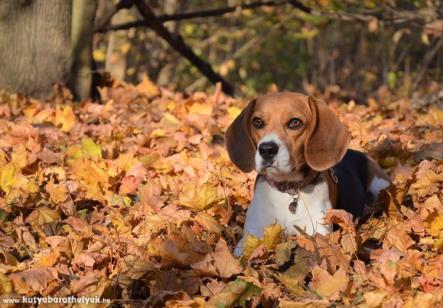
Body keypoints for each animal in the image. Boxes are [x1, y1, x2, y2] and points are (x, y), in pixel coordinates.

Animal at [227, 91, 390, 255]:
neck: (288, 189)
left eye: (295, 122)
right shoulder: (251, 235)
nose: (266, 149)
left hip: (380, 184)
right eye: (258, 122)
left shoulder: (318, 232)